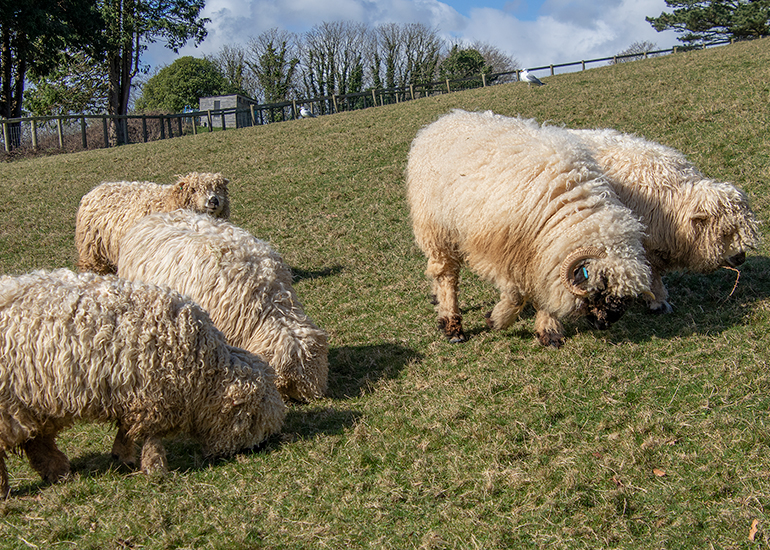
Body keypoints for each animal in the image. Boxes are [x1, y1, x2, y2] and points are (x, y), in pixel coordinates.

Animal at [0, 269, 286, 497]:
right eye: (254, 419)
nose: (257, 448)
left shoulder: (135, 394)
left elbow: (127, 429)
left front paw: (123, 456)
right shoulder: (152, 393)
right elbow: (151, 436)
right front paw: (155, 468)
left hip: (30, 402)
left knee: (37, 441)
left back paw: (58, 472)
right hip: (8, 406)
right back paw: (6, 491)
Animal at [75, 172, 230, 275]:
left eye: (219, 188)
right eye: (194, 189)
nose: (213, 200)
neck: (167, 202)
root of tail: (97, 188)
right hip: (93, 252)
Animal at [406, 110, 654, 347]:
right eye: (600, 290)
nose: (605, 324)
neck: (570, 208)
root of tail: (443, 119)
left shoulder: (542, 255)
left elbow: (542, 291)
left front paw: (549, 331)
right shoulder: (503, 251)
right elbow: (516, 295)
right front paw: (497, 319)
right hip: (437, 228)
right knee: (446, 274)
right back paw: (452, 324)